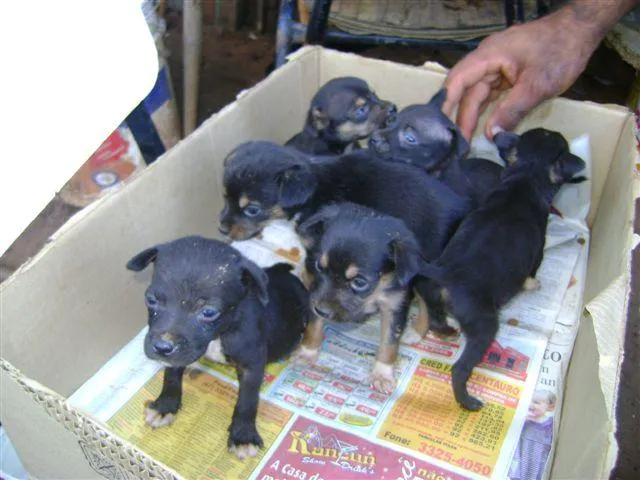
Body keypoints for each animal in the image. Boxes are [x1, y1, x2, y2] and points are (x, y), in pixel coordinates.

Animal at [125, 238, 310, 460]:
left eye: (209, 312)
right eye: (151, 299)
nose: (162, 347)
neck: (219, 334)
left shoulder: (252, 363)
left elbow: (248, 400)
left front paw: (243, 436)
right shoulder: (183, 351)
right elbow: (171, 376)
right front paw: (165, 405)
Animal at [296, 202, 430, 394]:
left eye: (359, 282)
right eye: (319, 267)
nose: (321, 310)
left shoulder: (396, 303)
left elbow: (389, 341)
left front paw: (382, 374)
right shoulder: (315, 290)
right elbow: (314, 325)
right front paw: (307, 352)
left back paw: (416, 331)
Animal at [418, 128, 588, 412]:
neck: (526, 176)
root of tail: (447, 276)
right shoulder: (539, 251)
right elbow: (532, 272)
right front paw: (533, 284)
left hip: (432, 298)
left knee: (436, 319)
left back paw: (447, 333)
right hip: (485, 325)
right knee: (460, 369)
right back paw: (468, 401)